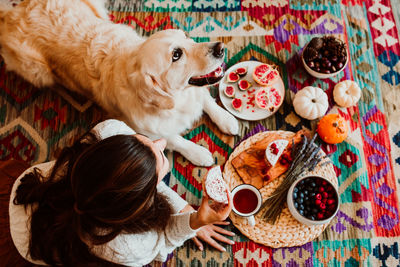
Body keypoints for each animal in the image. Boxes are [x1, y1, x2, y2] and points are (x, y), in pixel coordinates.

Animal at [0, 0, 238, 166]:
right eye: (176, 55)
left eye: (187, 37)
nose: (220, 48)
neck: (175, 101)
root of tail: (15, 10)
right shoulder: (140, 128)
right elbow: (174, 139)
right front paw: (199, 153)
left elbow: (207, 101)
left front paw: (226, 119)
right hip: (37, 71)